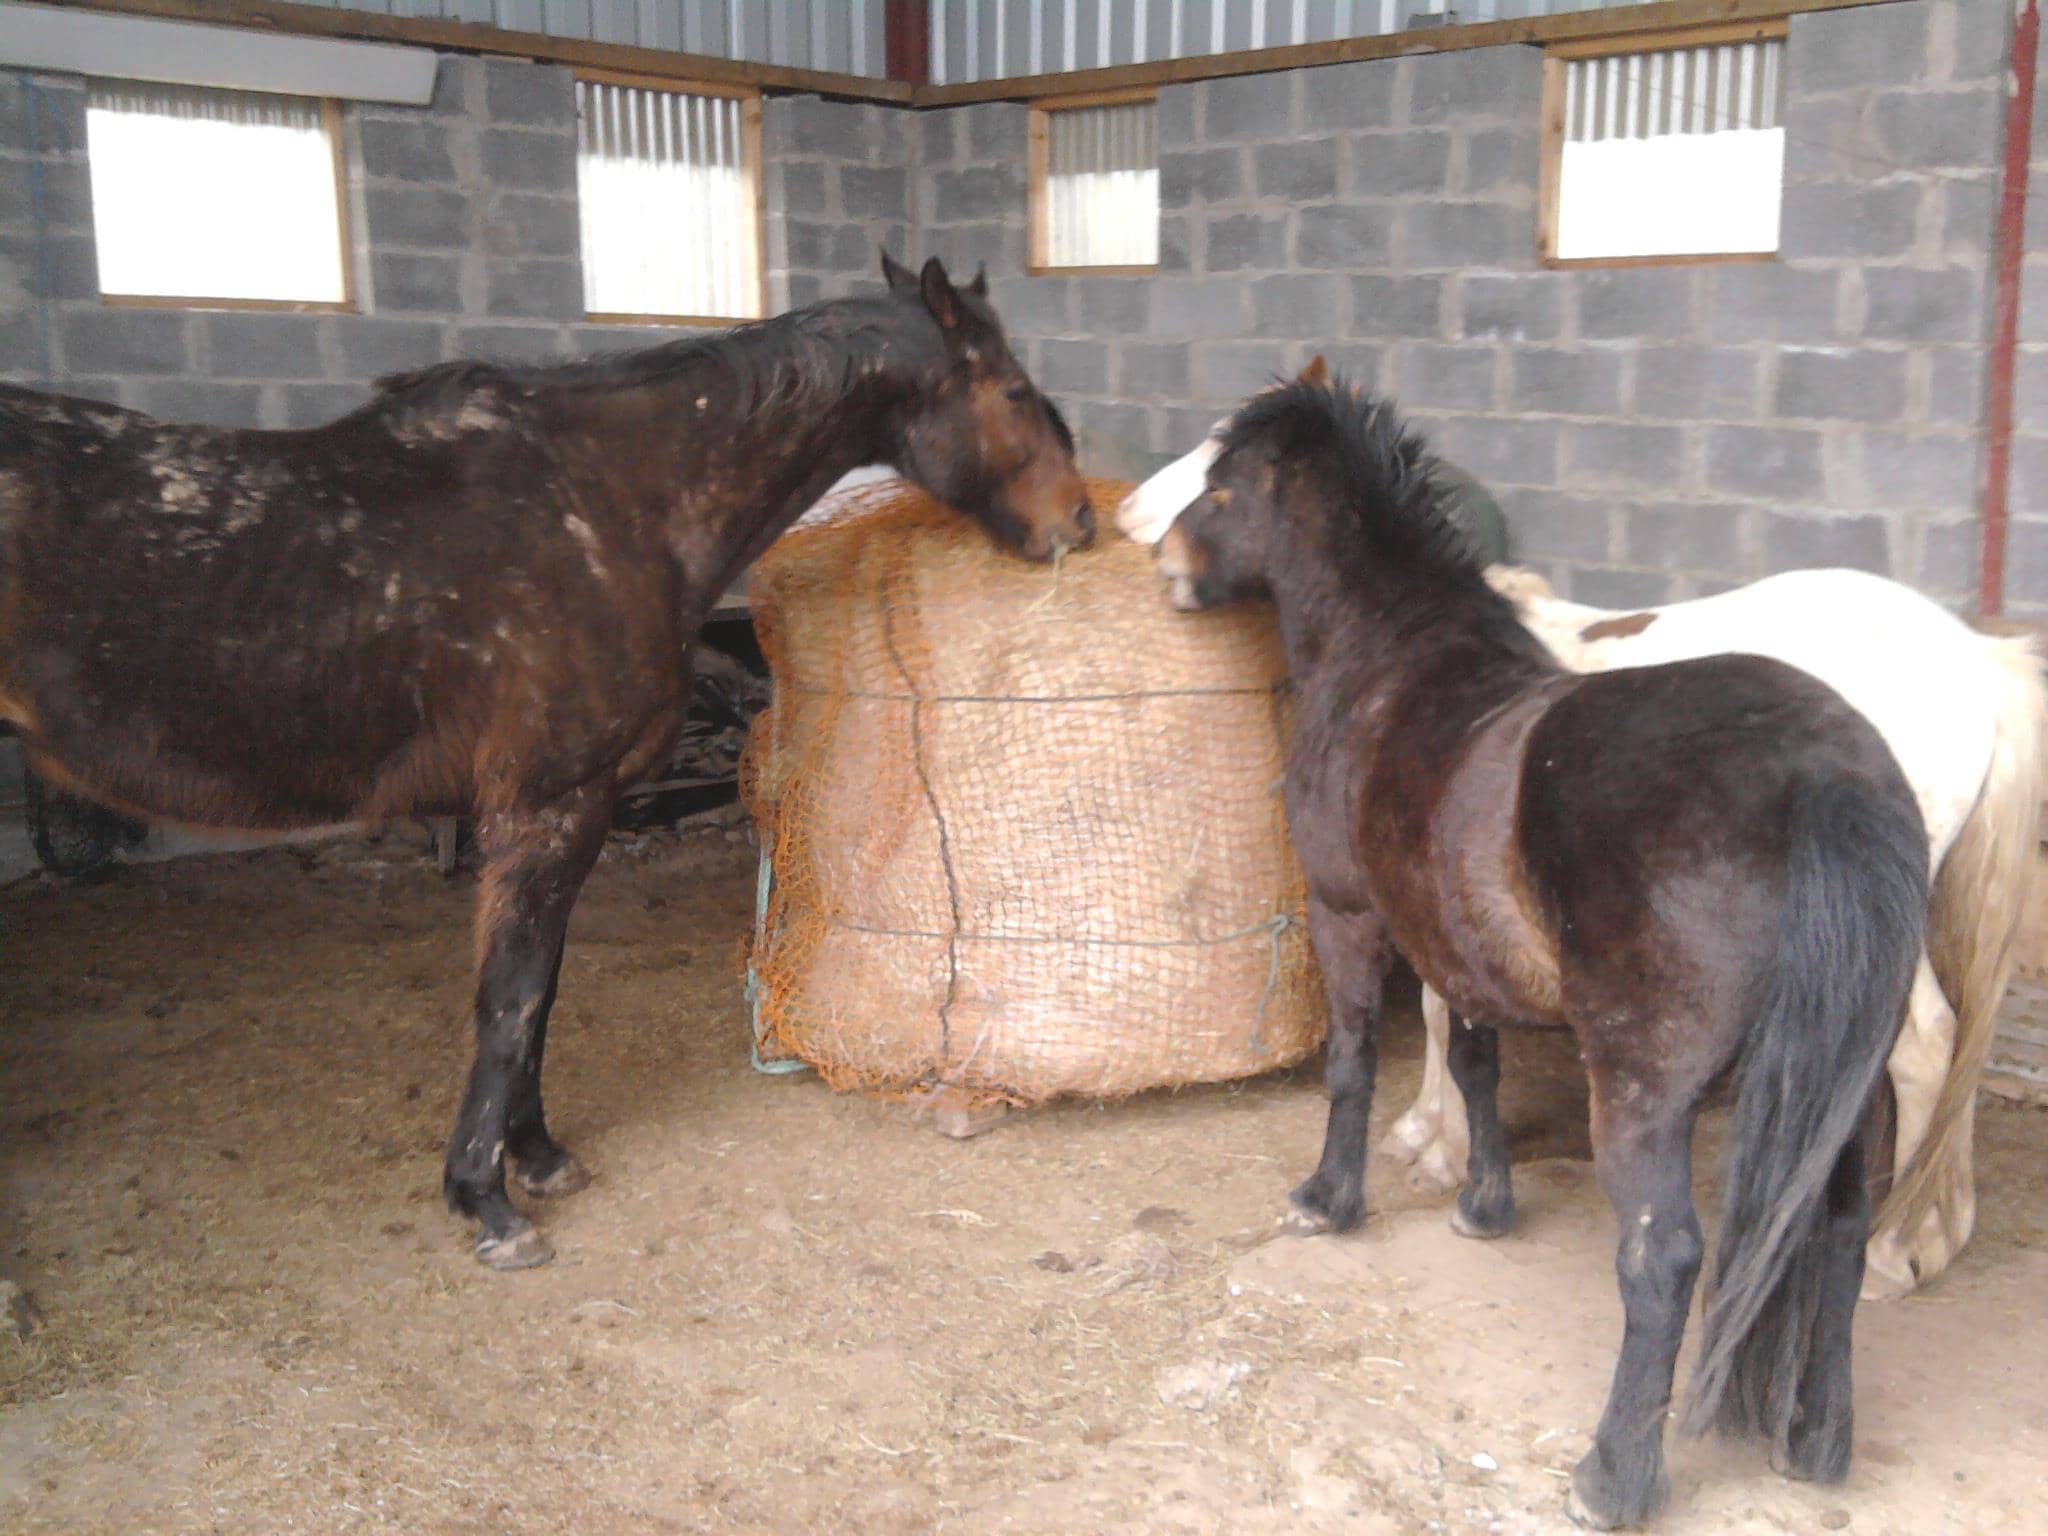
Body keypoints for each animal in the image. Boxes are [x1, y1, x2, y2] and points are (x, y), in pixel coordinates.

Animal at [0, 252, 1092, 1271]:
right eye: (1007, 389)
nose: (1076, 524)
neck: (605, 503)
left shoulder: (569, 814)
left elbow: (541, 992)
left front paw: (536, 1157)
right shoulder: (551, 807)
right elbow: (511, 996)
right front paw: (487, 1201)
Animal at [1120, 362, 1927, 1529]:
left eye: (1221, 486)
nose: (1168, 566)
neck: (1389, 661)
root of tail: (1823, 776)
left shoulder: (1347, 914)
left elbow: (1353, 1064)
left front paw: (1329, 1200)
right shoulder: (1460, 949)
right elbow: (1473, 1064)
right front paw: (1483, 1207)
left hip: (1641, 1090)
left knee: (1662, 1257)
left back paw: (1611, 1476)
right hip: (1848, 1089)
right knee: (1835, 1228)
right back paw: (1818, 1441)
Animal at [1379, 565, 2044, 1302]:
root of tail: (1979, 663)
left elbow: (1439, 1011)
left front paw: (1440, 1148)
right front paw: (1424, 1131)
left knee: (1925, 1044)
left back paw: (1893, 1252)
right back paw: (1938, 1231)